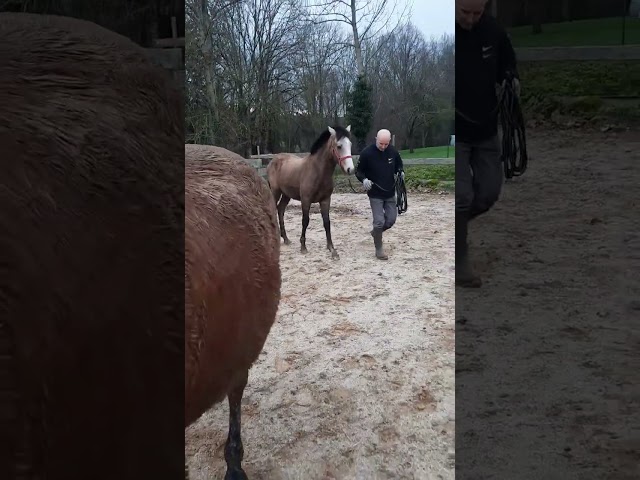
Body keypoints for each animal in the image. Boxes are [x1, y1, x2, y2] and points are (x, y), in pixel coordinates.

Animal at [266, 125, 354, 259]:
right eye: (339, 146)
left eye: (350, 144)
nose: (350, 169)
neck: (318, 171)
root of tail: (273, 160)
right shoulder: (306, 200)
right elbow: (305, 221)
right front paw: (303, 247)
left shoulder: (325, 200)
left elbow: (327, 222)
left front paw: (332, 249)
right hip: (275, 191)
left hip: (286, 194)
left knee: (280, 210)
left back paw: (286, 239)